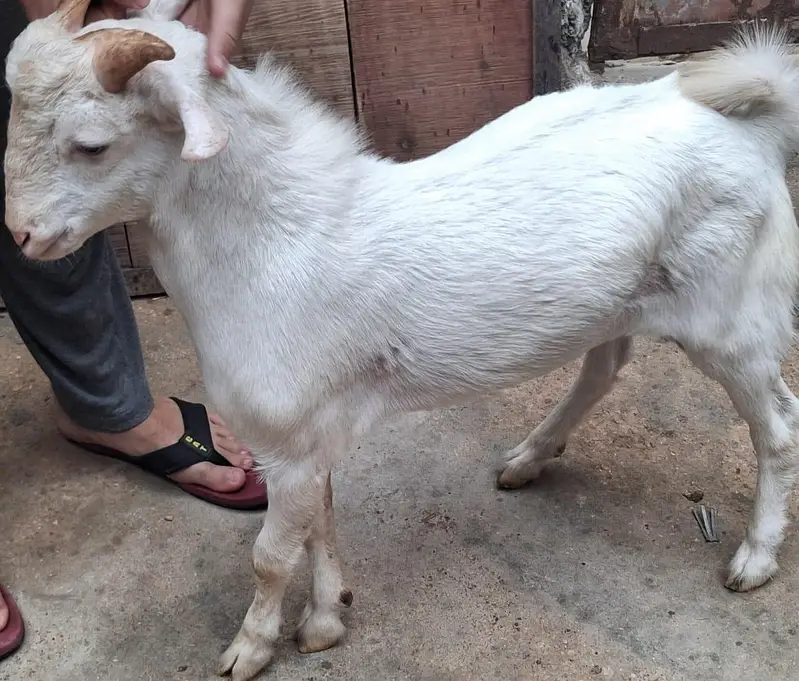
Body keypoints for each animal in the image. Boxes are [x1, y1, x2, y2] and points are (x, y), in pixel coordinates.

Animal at [6, 1, 799, 678]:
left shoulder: (288, 439)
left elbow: (270, 554)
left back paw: (755, 557)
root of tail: (750, 122)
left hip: (730, 314)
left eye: (91, 145)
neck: (277, 242)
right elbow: (318, 522)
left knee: (779, 425)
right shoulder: (309, 434)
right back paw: (529, 457)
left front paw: (250, 648)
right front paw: (327, 618)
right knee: (605, 365)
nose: (21, 236)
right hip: (620, 300)